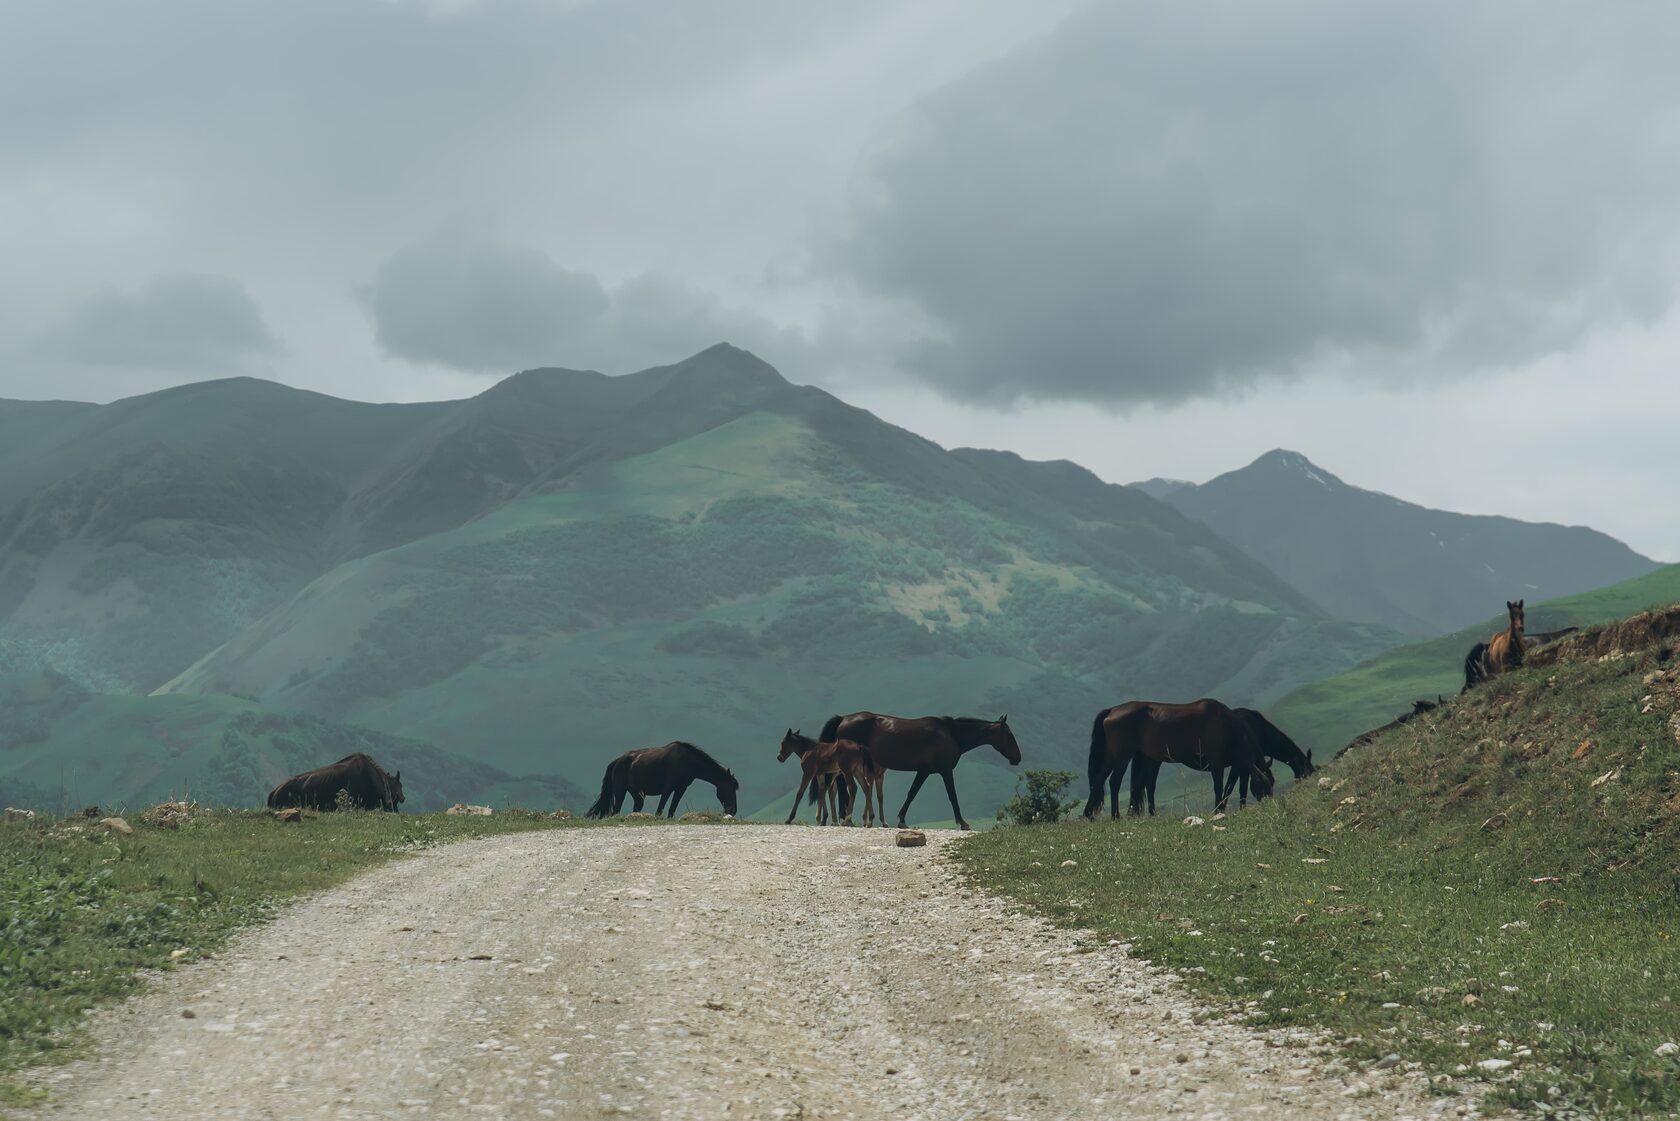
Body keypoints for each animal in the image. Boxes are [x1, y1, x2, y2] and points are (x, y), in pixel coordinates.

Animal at [584, 739, 735, 820]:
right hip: (620, 791)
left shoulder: (681, 788)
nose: (733, 811)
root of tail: (617, 761)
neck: (687, 761)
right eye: (730, 789)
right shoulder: (668, 787)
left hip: (638, 795)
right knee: (616, 811)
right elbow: (660, 808)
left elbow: (672, 808)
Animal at [816, 709, 1021, 833]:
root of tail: (843, 719)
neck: (951, 734)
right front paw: (963, 822)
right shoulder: (944, 771)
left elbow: (912, 793)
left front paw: (901, 819)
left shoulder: (923, 772)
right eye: (1009, 735)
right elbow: (951, 796)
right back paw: (845, 818)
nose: (1018, 758)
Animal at [1081, 702, 1276, 823]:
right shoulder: (1217, 764)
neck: (1225, 724)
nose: (1270, 807)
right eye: (1264, 785)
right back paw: (1115, 816)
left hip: (1110, 756)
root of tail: (1112, 710)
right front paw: (1217, 811)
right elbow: (1220, 787)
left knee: (1098, 780)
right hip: (1122, 756)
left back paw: (1089, 814)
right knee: (1114, 782)